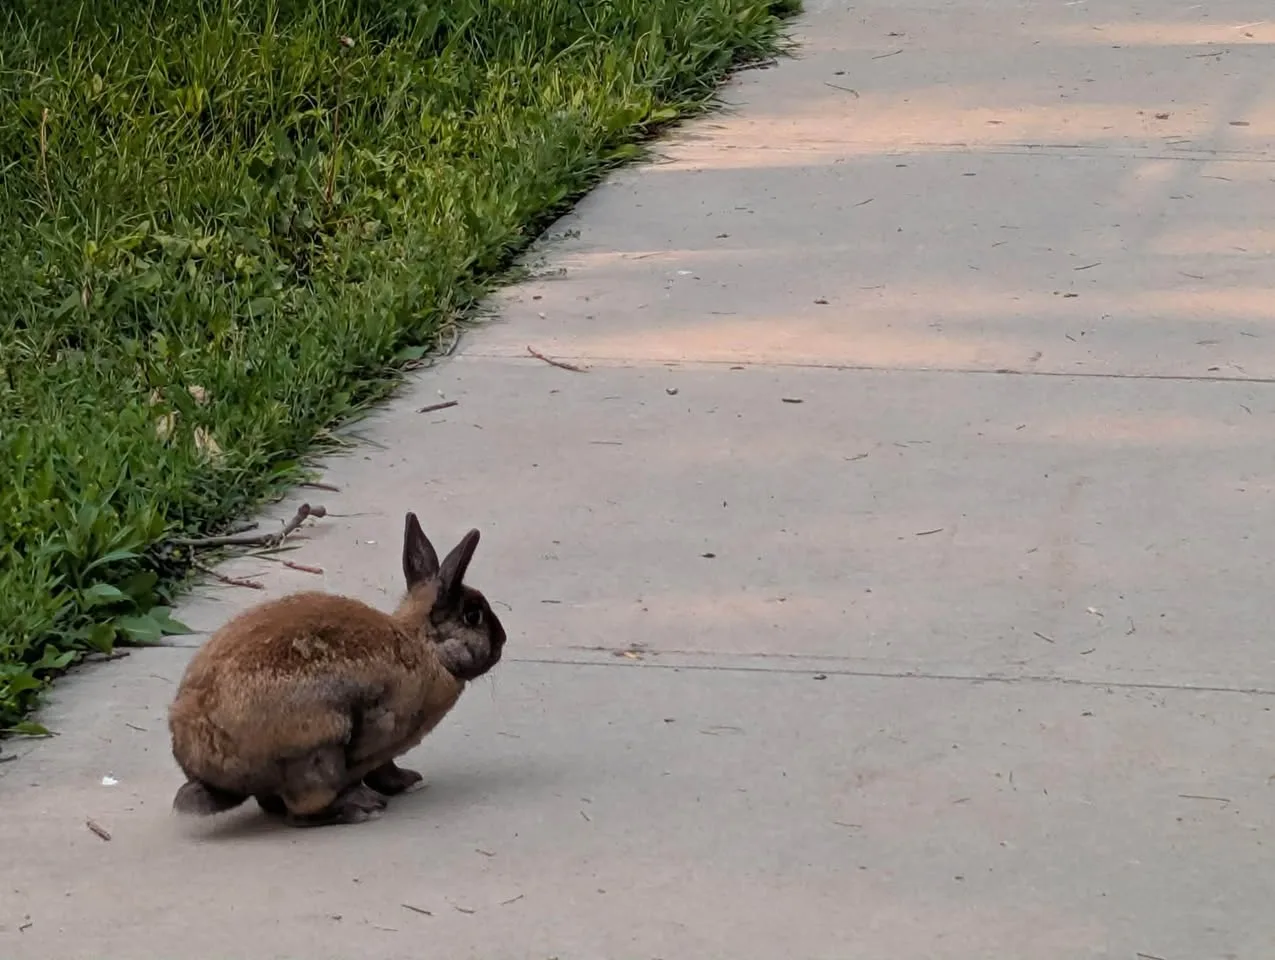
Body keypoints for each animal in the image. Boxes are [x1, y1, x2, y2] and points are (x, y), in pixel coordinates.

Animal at [167, 512, 506, 826]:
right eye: (473, 616)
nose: (502, 640)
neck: (426, 647)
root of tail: (204, 765)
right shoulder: (380, 732)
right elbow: (380, 767)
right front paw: (400, 786)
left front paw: (409, 780)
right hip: (319, 749)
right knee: (303, 811)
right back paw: (362, 808)